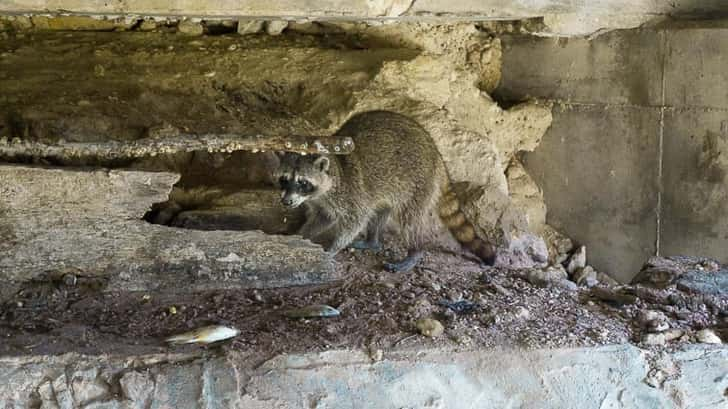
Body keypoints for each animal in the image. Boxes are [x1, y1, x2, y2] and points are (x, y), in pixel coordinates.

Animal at [272, 110, 494, 272]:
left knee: (410, 220)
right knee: (380, 210)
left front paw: (332, 248)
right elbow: (323, 218)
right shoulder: (320, 203)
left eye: (303, 182)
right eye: (284, 179)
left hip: (419, 183)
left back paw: (414, 252)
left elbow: (355, 220)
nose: (286, 202)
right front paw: (300, 235)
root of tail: (436, 153)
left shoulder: (351, 192)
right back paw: (373, 241)